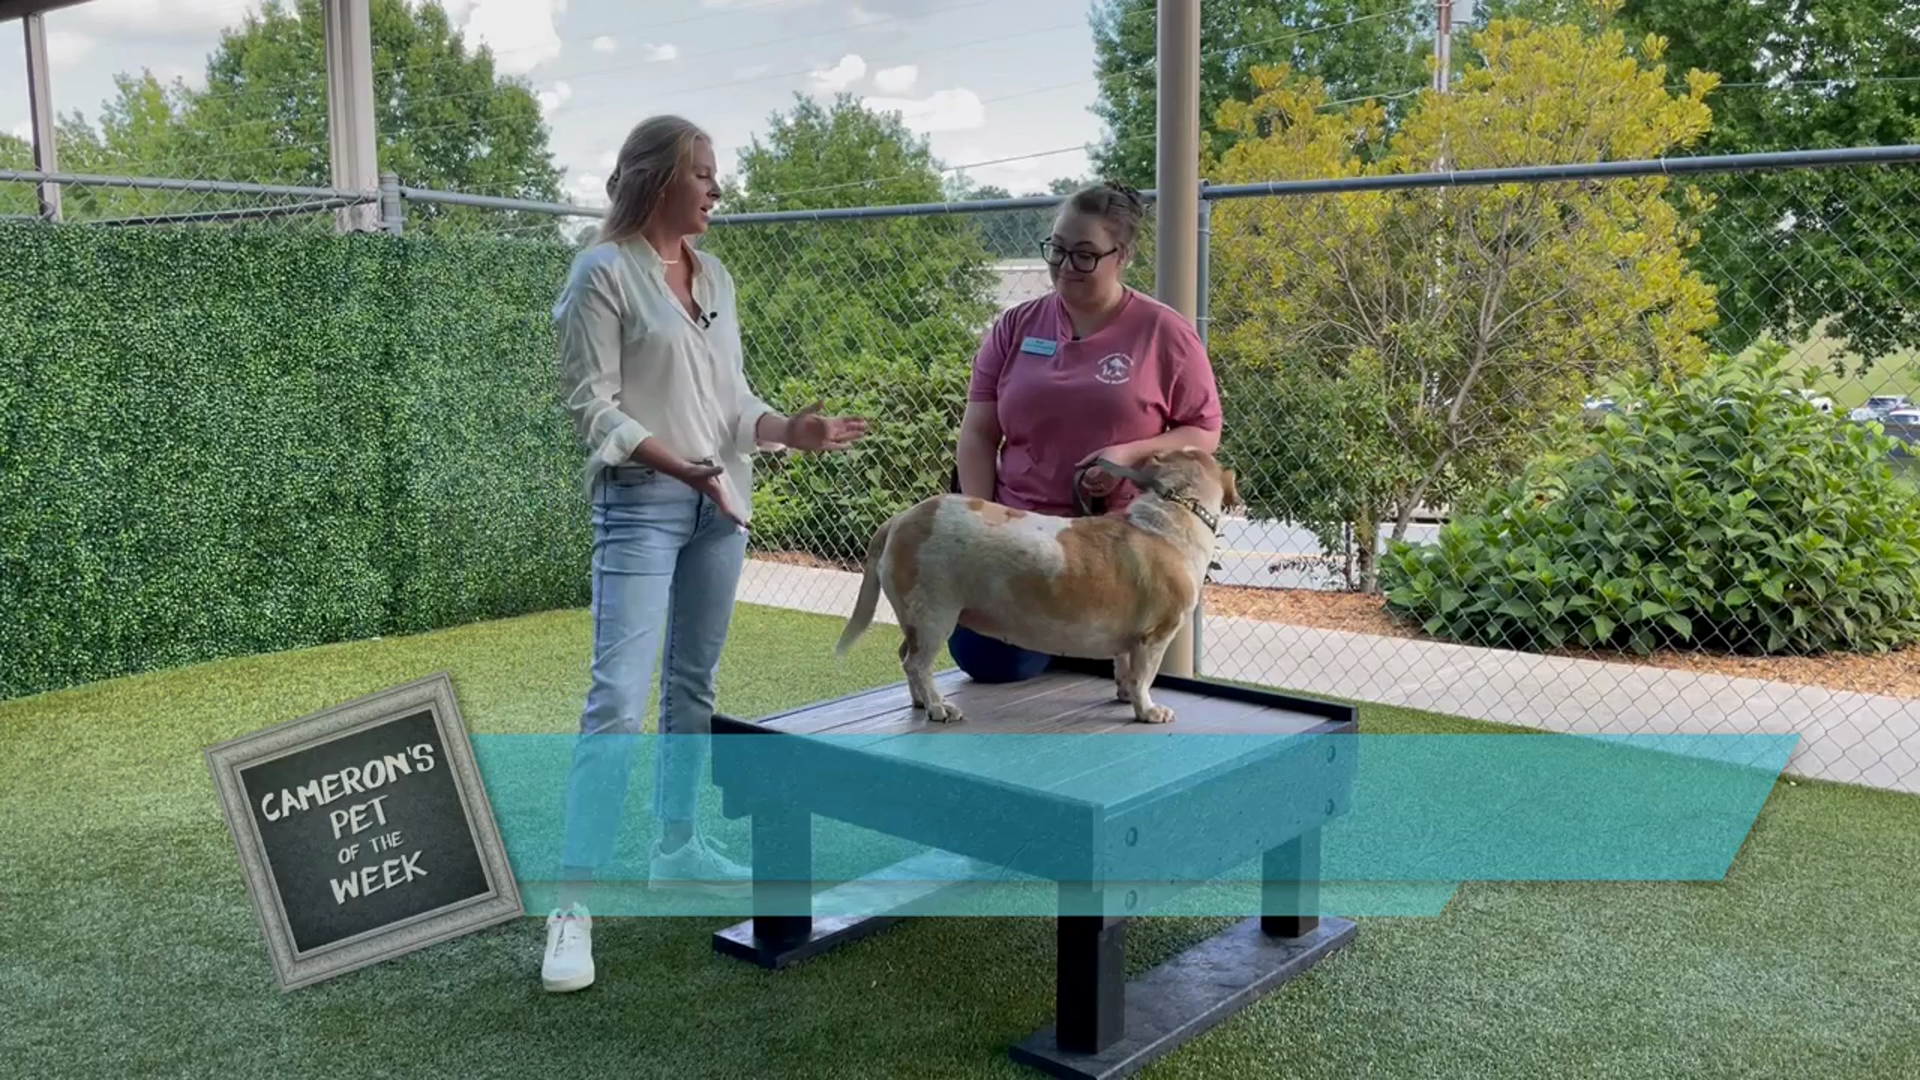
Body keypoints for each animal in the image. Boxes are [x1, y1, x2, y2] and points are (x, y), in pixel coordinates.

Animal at [834, 447, 1239, 725]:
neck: (1173, 515)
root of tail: (901, 519)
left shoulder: (1131, 641)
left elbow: (1126, 669)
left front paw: (1125, 694)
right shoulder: (1155, 637)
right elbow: (1144, 678)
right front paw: (1148, 711)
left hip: (918, 618)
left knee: (907, 656)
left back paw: (921, 701)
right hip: (935, 615)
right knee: (917, 663)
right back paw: (937, 707)